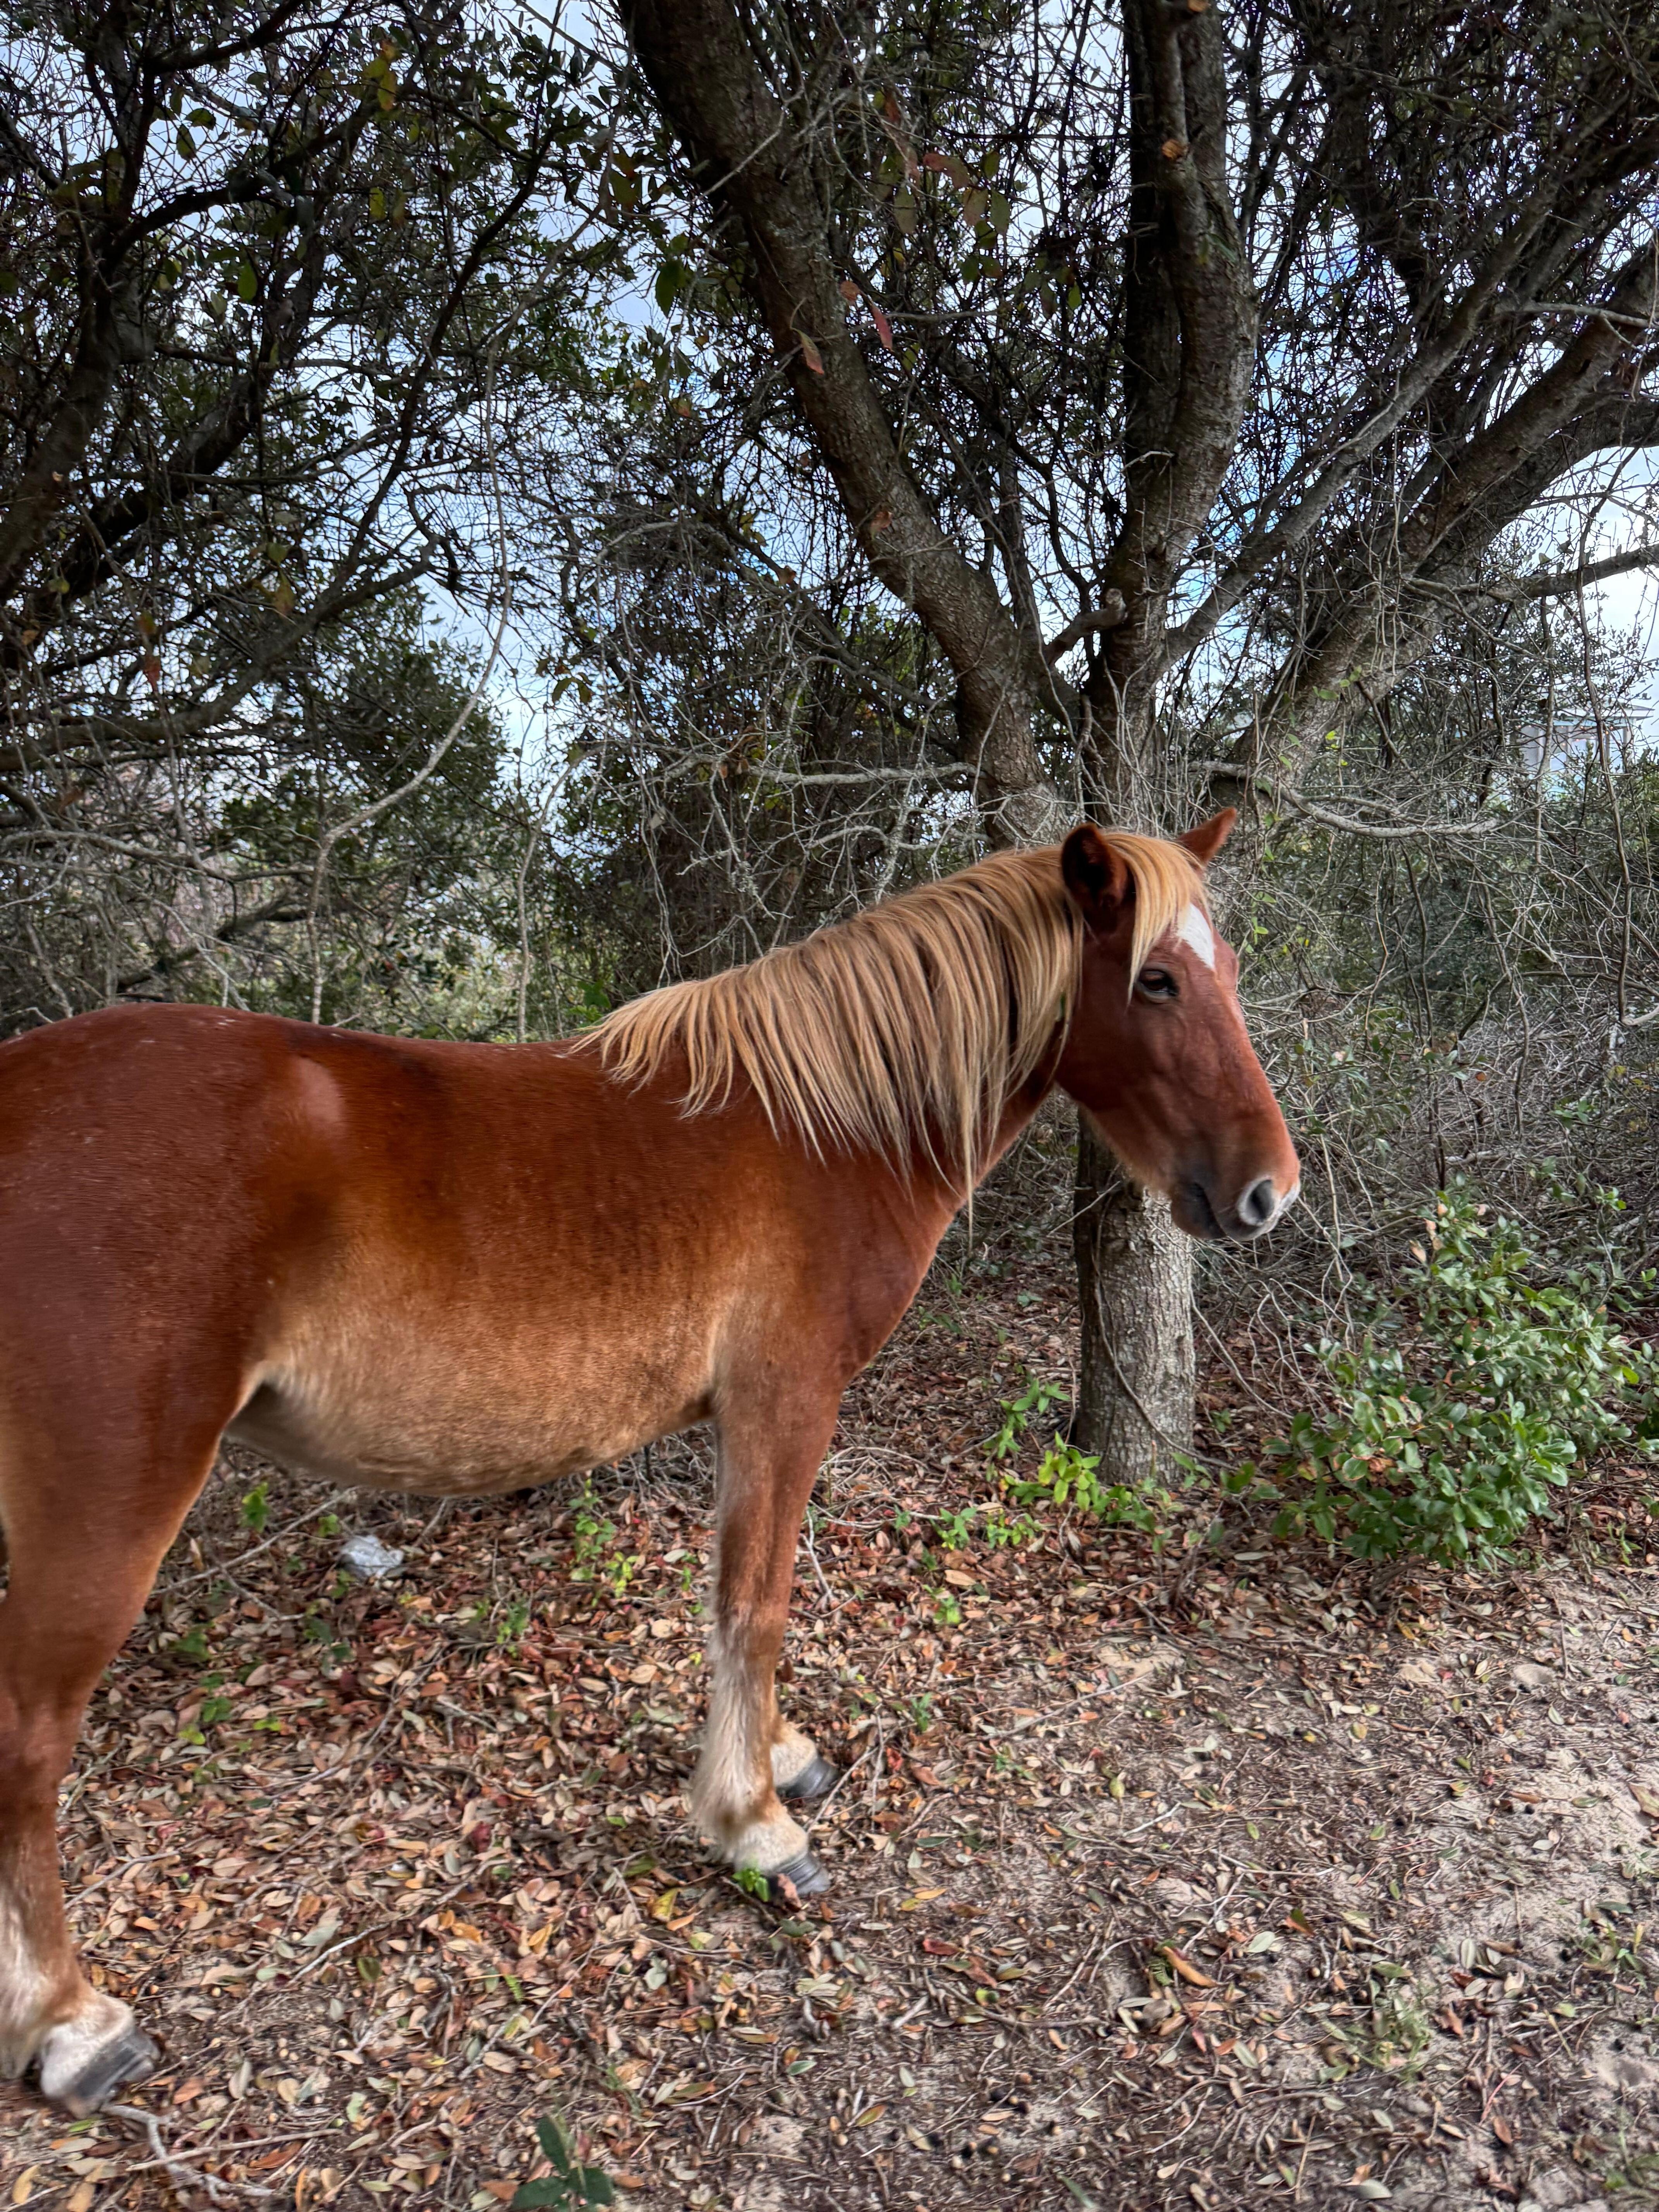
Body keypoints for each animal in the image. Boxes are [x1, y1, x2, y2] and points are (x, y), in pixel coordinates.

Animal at [0, 811, 1297, 2113]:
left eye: (1231, 969)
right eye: (1156, 980)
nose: (1267, 1193)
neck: (828, 1124)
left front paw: (779, 1756)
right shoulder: (786, 1403)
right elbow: (755, 1605)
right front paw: (756, 1824)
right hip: (109, 1508)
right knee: (30, 1741)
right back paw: (71, 2021)